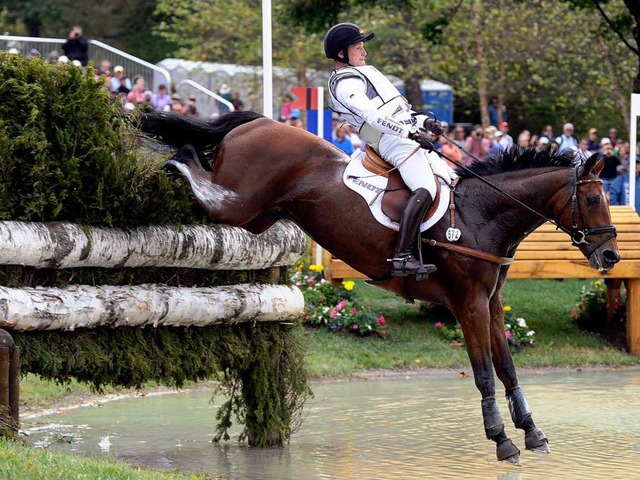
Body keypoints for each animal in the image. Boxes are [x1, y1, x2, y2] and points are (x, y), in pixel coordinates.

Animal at [139, 110, 620, 464]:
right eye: (593, 199)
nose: (611, 257)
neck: (480, 215)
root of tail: (257, 123)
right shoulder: (468, 304)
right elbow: (484, 372)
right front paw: (502, 440)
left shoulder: (492, 302)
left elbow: (508, 369)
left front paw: (533, 432)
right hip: (238, 205)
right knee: (201, 176)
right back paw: (173, 159)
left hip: (258, 216)